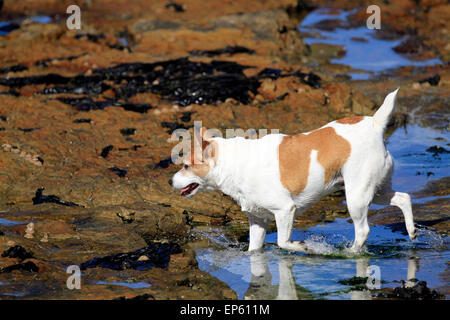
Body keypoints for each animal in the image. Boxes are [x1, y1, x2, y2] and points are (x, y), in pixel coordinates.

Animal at [170, 89, 418, 252]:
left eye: (185, 166)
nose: (171, 182)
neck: (234, 163)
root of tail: (374, 124)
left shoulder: (285, 210)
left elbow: (283, 242)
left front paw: (304, 247)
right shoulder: (258, 221)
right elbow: (254, 250)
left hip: (356, 196)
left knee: (363, 230)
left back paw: (351, 252)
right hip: (375, 190)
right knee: (403, 198)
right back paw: (412, 231)